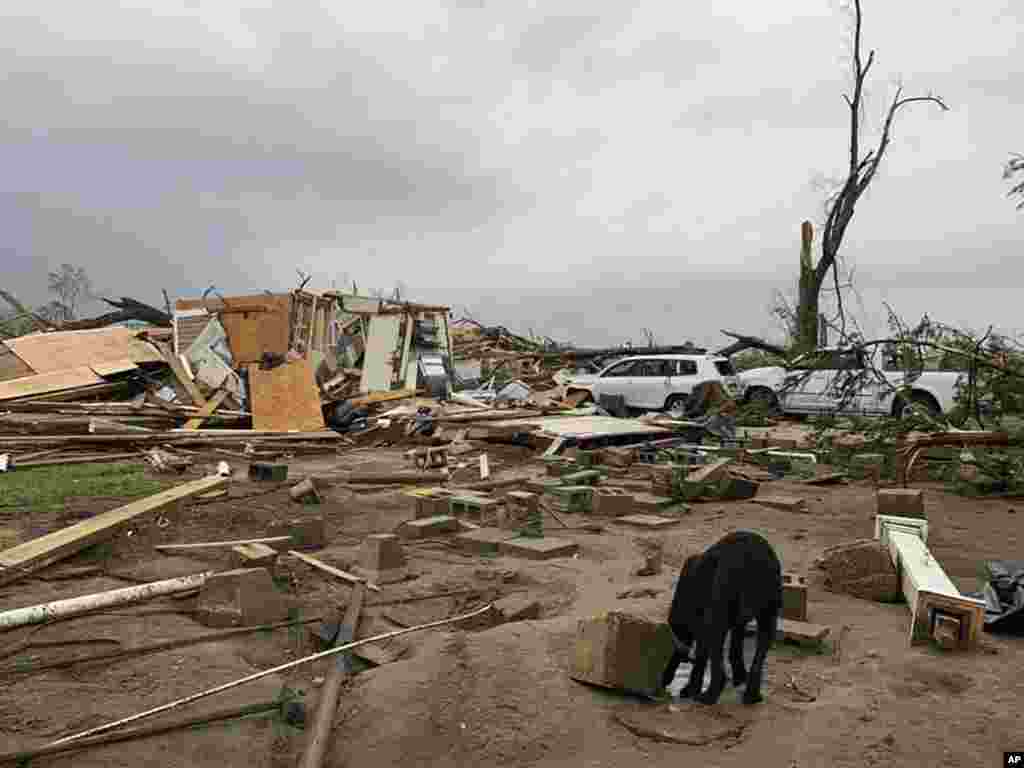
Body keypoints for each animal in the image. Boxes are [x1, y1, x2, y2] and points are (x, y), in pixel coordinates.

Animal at [659, 532, 778, 708]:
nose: (662, 683)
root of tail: (753, 561)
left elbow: (702, 646)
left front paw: (689, 690)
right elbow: (736, 635)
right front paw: (739, 678)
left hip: (724, 588)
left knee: (715, 635)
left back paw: (708, 697)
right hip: (770, 599)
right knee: (765, 637)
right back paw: (752, 697)